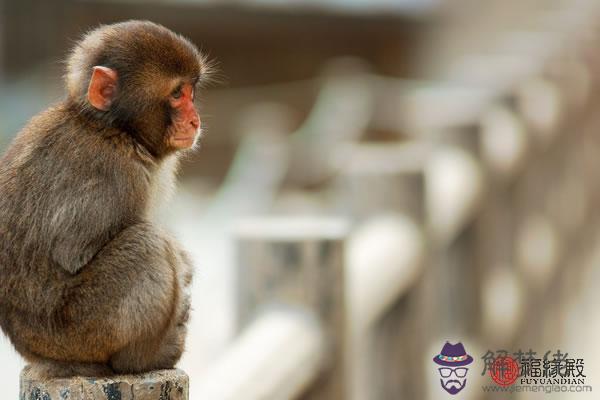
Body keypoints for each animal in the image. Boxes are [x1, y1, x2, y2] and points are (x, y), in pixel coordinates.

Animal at [0, 20, 211, 378]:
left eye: (190, 91)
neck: (113, 129)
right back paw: (144, 358)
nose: (195, 119)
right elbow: (73, 253)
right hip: (79, 334)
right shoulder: (116, 174)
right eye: (176, 94)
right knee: (147, 244)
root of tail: (35, 354)